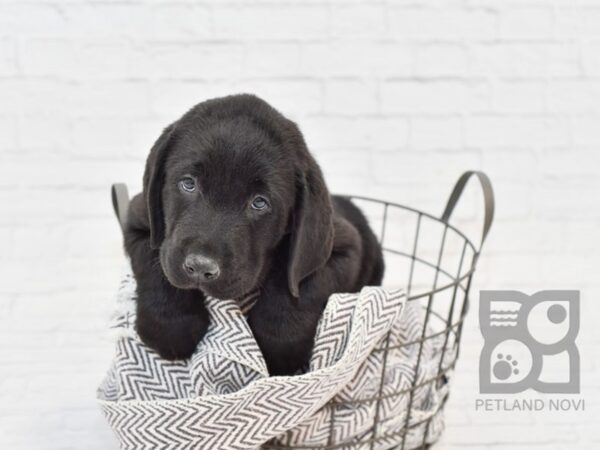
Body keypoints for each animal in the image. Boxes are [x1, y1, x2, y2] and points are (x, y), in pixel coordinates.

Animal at [125, 95, 384, 376]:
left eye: (259, 203)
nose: (200, 268)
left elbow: (297, 282)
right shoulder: (138, 218)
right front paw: (171, 327)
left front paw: (280, 347)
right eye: (188, 184)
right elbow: (153, 259)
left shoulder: (345, 248)